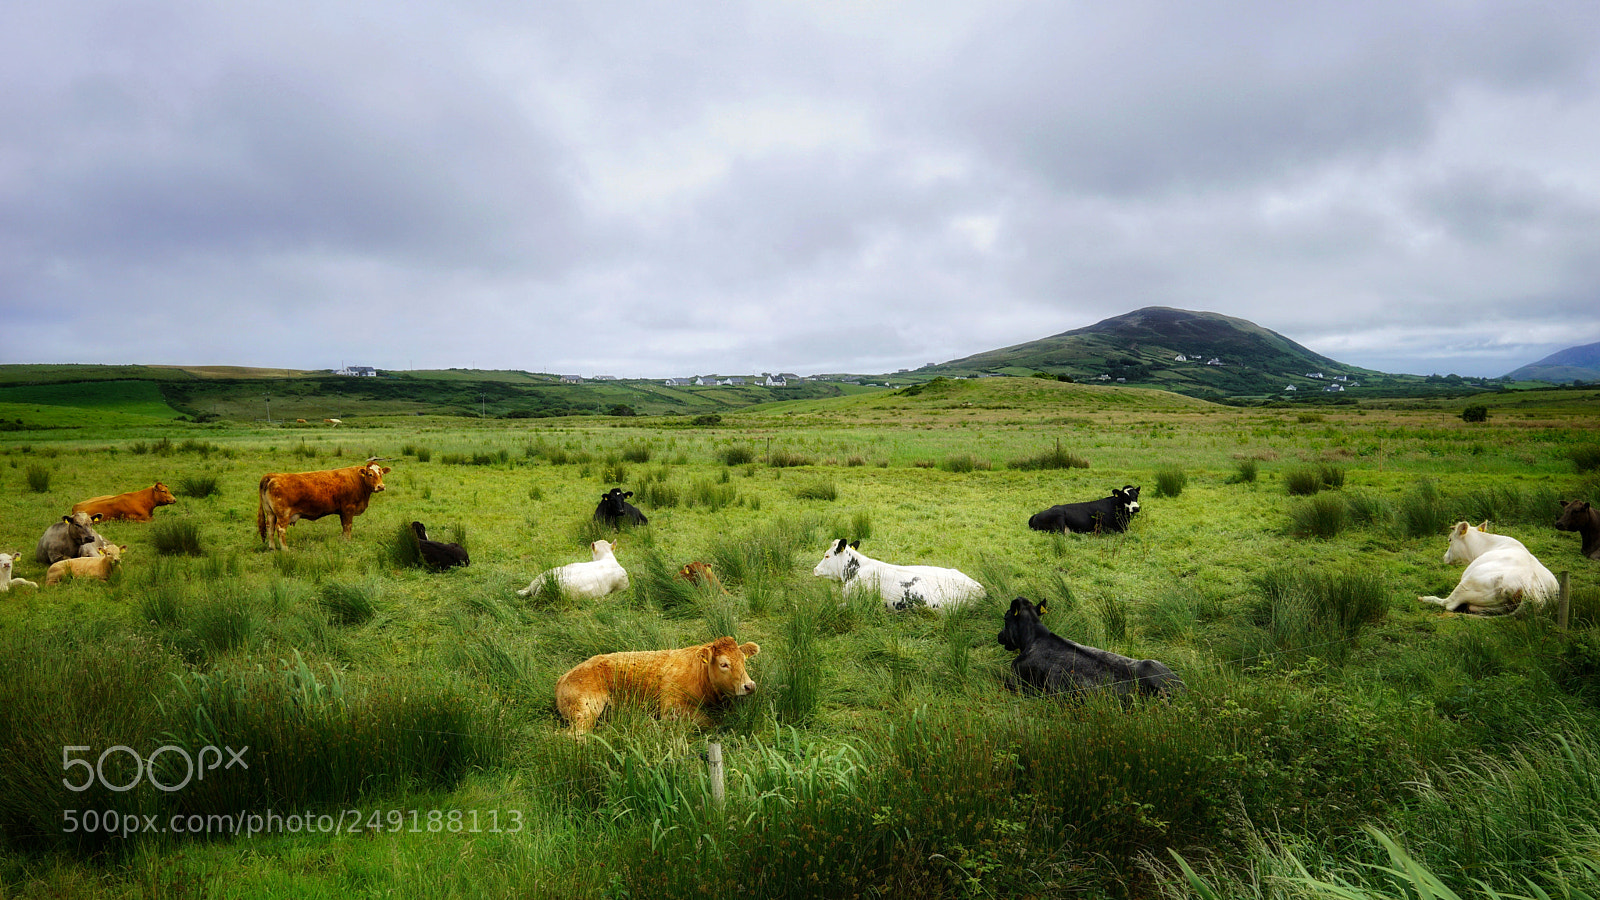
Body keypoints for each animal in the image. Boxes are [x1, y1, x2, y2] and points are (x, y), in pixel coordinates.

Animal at [257, 458, 391, 550]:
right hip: (283, 514)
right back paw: (285, 550)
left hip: (270, 512)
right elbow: (348, 526)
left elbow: (344, 527)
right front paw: (348, 541)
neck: (358, 480)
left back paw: (272, 548)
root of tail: (273, 475)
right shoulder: (348, 509)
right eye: (370, 474)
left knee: (270, 527)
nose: (381, 486)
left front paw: (343, 540)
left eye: (381, 474)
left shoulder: (342, 511)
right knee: (280, 529)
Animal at [555, 636, 760, 734]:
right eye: (724, 664)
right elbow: (709, 721)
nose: (749, 686)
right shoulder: (672, 708)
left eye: (743, 660)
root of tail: (563, 677)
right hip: (585, 710)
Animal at [1419, 521, 1559, 615]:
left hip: (1468, 582)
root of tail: (1532, 592)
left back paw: (1426, 598)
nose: (1444, 557)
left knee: (1448, 603)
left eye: (1449, 540)